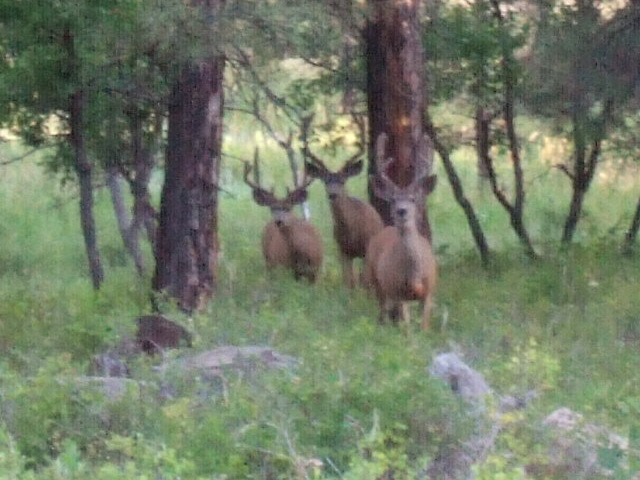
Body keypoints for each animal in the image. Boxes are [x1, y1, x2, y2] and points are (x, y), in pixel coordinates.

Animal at [245, 154, 324, 284]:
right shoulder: (286, 268)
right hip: (270, 262)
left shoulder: (315, 270)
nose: (279, 221)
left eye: (288, 208)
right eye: (272, 208)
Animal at [304, 131, 384, 288]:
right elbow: (347, 281)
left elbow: (363, 280)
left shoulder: (366, 247)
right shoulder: (342, 250)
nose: (332, 194)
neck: (351, 231)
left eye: (342, 181)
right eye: (325, 181)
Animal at [362, 133, 438, 332]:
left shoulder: (429, 291)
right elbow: (407, 327)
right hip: (374, 277)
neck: (414, 277)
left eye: (413, 198)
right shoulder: (397, 291)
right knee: (383, 310)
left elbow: (424, 325)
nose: (401, 211)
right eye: (393, 199)